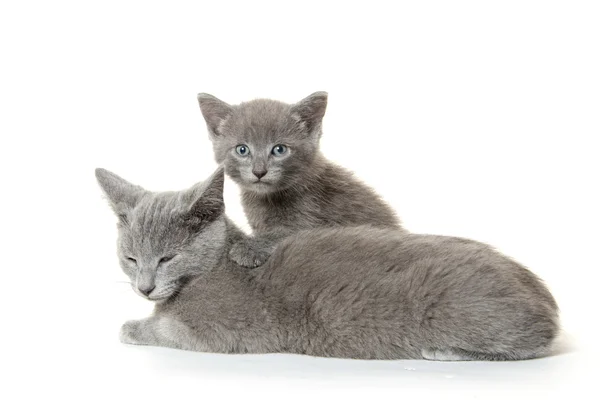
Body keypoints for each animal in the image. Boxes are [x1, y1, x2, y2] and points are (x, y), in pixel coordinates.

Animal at [96, 167, 560, 360]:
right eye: (130, 258)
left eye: (167, 258)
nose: (144, 287)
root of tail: (544, 296)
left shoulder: (220, 331)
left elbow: (162, 330)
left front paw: (131, 326)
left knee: (533, 345)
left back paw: (445, 352)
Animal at [199, 92, 406, 270]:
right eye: (242, 149)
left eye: (279, 149)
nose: (259, 171)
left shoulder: (315, 216)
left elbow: (284, 233)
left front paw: (249, 248)